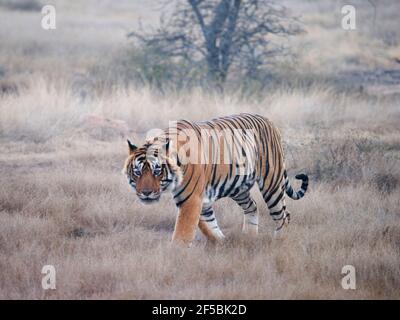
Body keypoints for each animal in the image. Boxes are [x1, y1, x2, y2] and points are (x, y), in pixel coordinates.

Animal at [123, 113, 308, 245]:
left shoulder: (191, 199)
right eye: (138, 172)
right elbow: (209, 227)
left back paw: (281, 242)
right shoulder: (200, 200)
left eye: (157, 171)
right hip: (239, 188)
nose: (146, 193)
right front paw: (222, 243)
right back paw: (249, 237)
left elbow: (183, 234)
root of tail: (268, 120)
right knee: (253, 206)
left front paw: (175, 257)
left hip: (272, 183)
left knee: (283, 215)